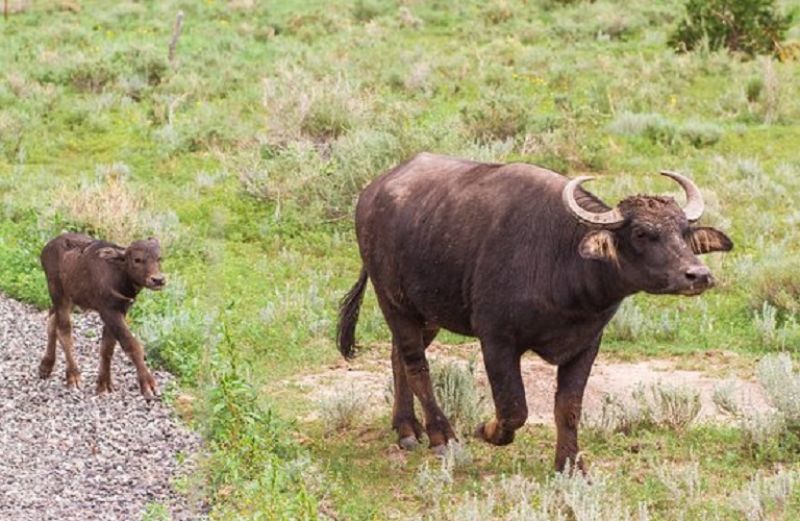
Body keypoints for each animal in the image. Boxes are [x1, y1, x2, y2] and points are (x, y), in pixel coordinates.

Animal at [40, 232, 167, 398]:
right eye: (137, 259)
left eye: (159, 258)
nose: (158, 280)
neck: (119, 276)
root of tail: (45, 249)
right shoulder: (109, 311)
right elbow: (131, 344)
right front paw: (149, 386)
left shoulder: (119, 311)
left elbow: (107, 348)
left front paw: (103, 384)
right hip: (58, 293)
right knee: (64, 331)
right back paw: (73, 376)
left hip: (70, 299)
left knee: (52, 320)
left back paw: (45, 366)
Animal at [334, 151, 736, 472]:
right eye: (641, 233)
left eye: (684, 232)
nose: (698, 275)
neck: (563, 264)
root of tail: (371, 193)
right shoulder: (496, 340)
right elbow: (514, 408)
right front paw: (487, 430)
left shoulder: (586, 345)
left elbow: (568, 408)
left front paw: (570, 465)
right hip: (394, 301)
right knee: (416, 365)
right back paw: (440, 435)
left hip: (428, 312)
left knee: (397, 356)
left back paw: (406, 427)